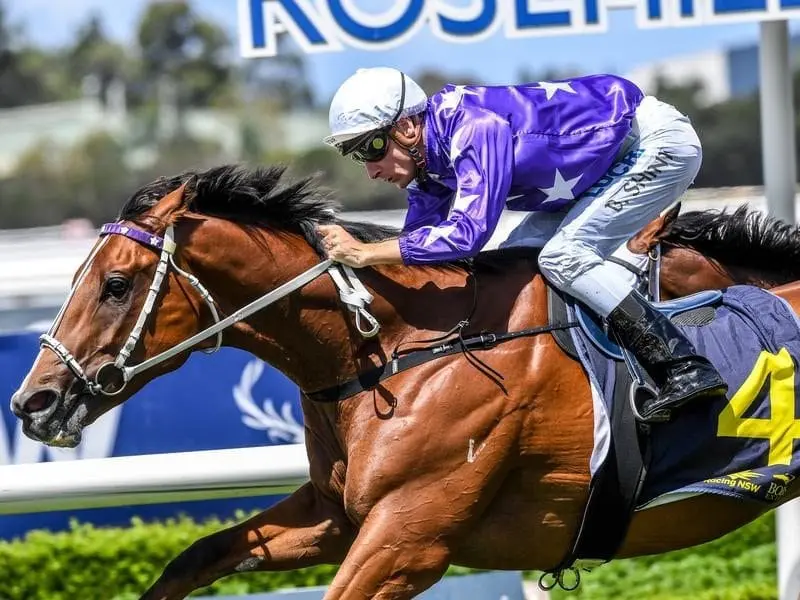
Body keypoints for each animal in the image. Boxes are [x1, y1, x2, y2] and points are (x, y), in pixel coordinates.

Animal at [9, 165, 800, 600]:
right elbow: (194, 555)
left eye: (114, 284)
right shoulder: (341, 513)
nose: (32, 402)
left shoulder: (408, 538)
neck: (392, 349)